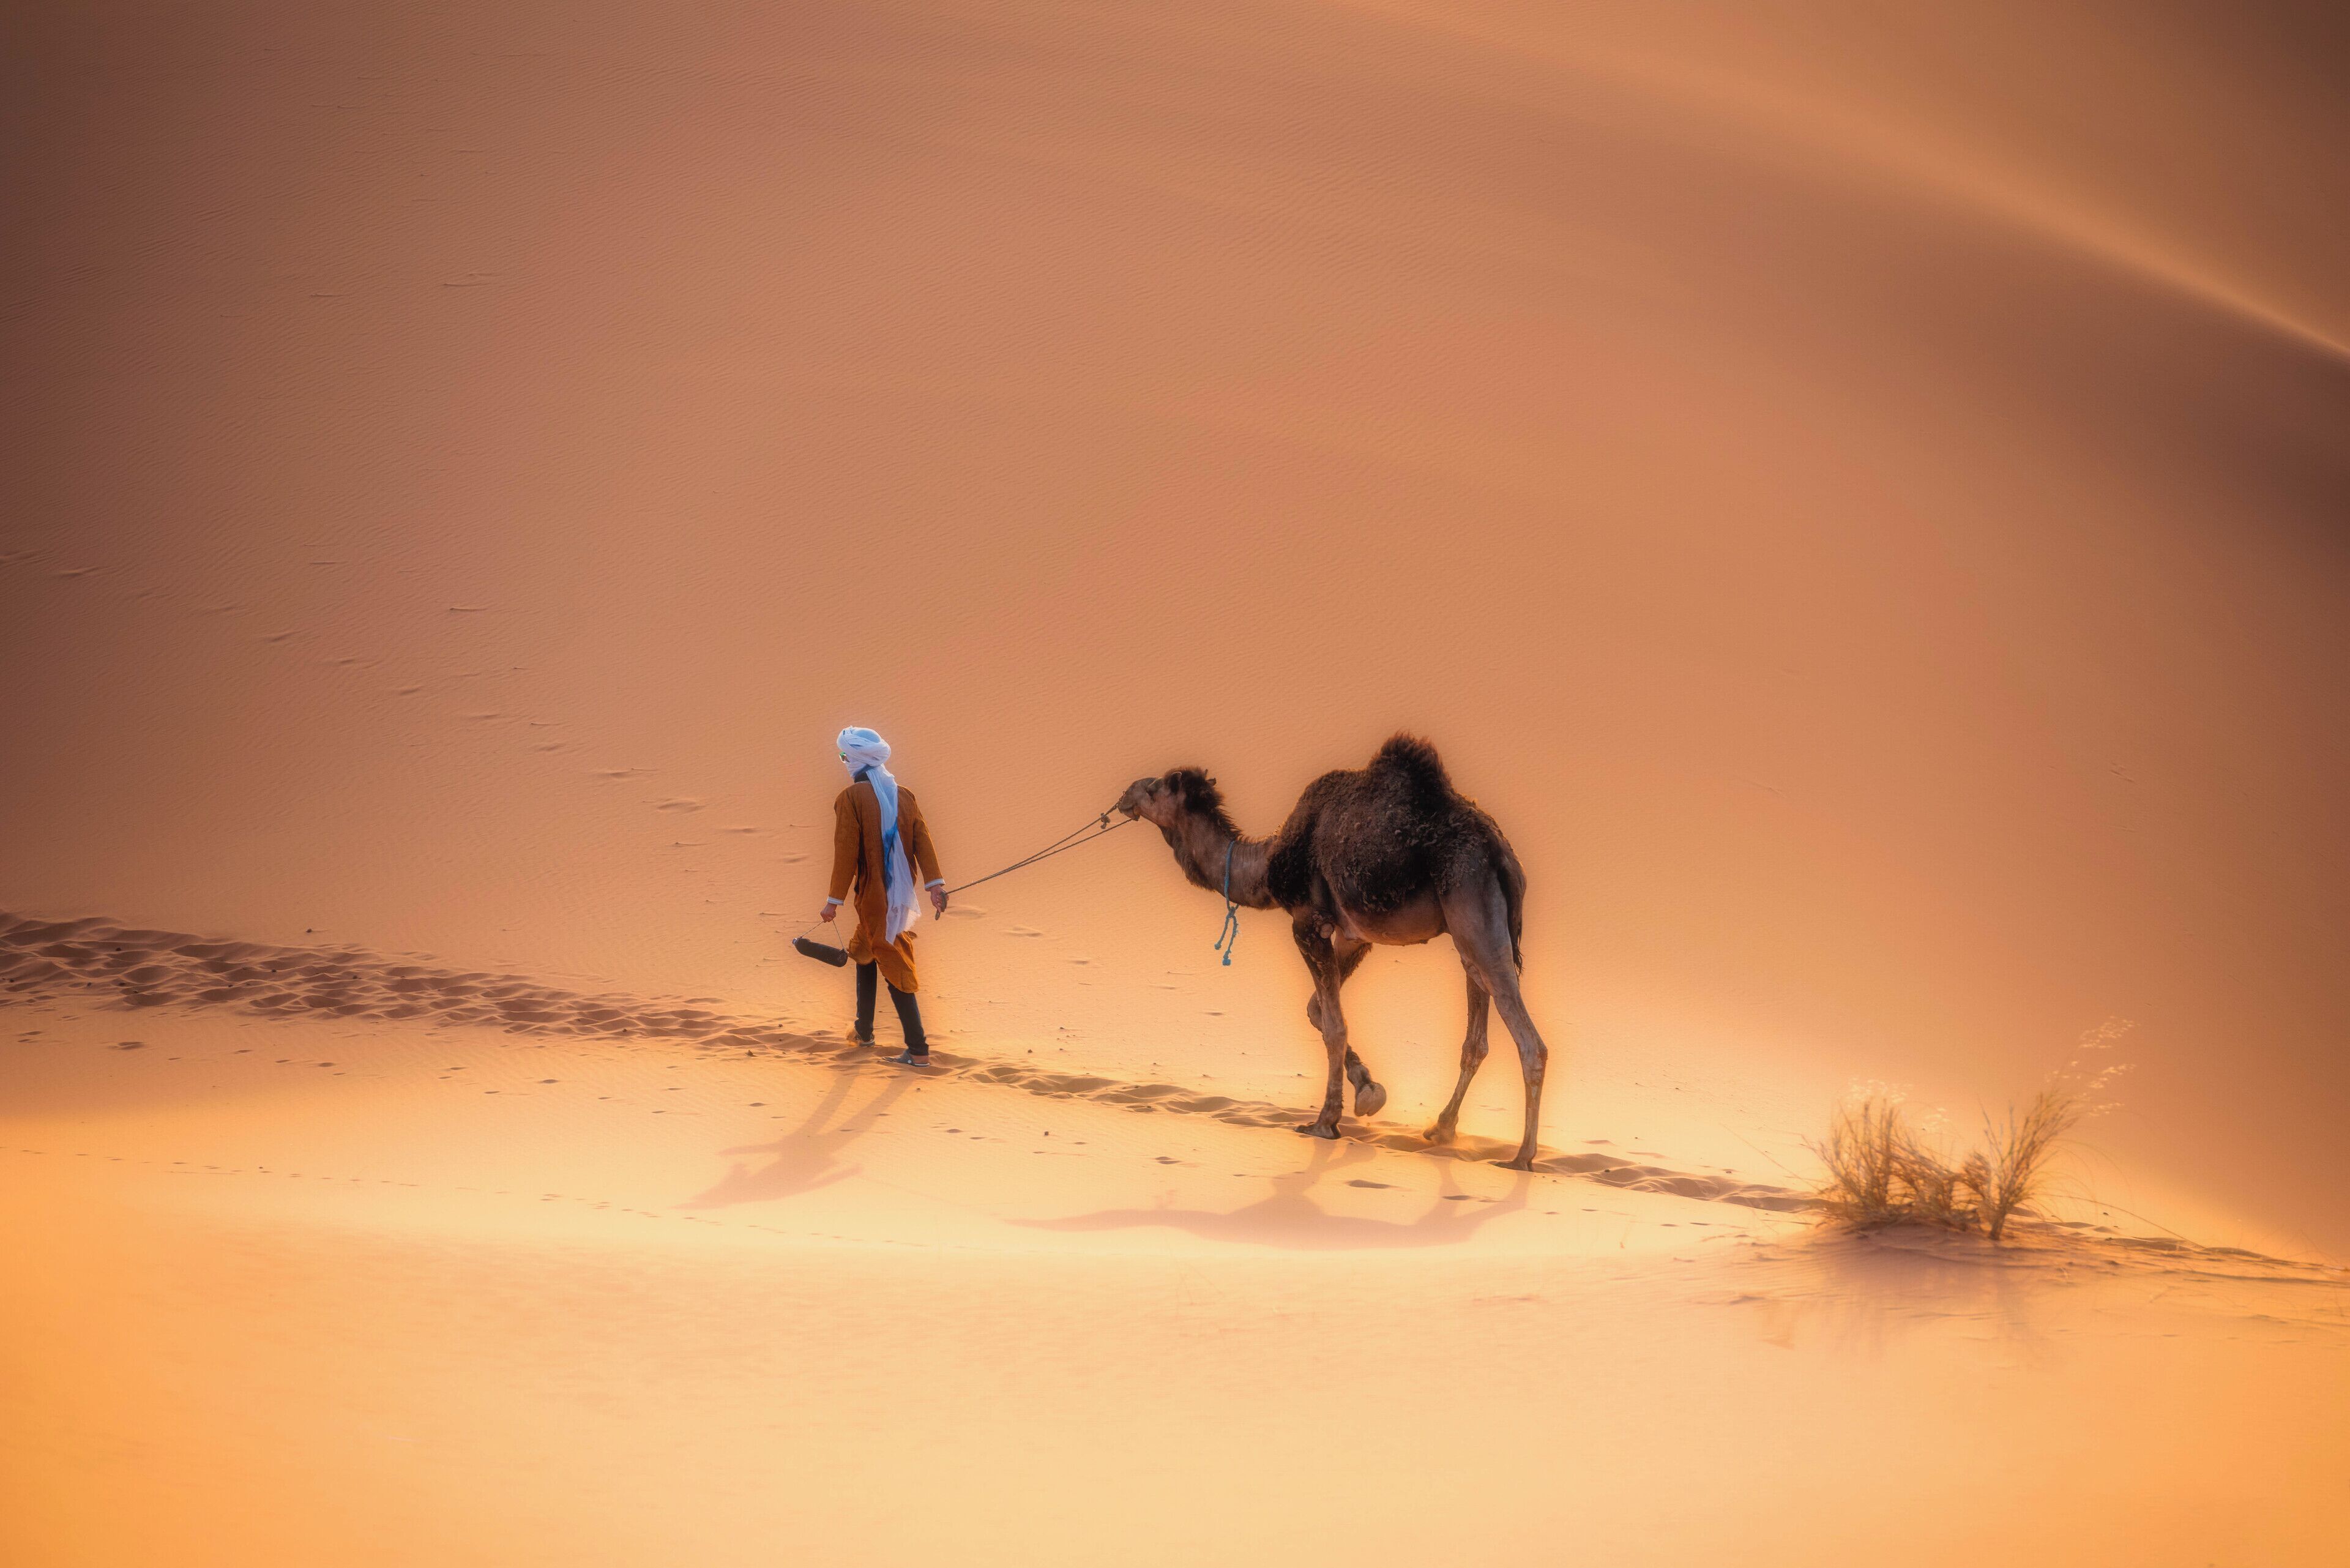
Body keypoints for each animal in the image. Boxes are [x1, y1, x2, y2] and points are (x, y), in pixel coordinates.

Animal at [1115, 734, 1553, 1170]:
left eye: (1156, 788)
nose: (1126, 794)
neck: (1269, 863)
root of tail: (1503, 855)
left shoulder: (1307, 923)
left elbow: (1334, 1026)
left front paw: (1326, 1122)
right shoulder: (1354, 935)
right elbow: (1316, 1010)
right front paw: (1369, 1091)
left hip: (1473, 908)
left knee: (1529, 1041)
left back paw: (1522, 1157)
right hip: (1468, 933)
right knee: (1476, 1038)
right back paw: (1442, 1128)